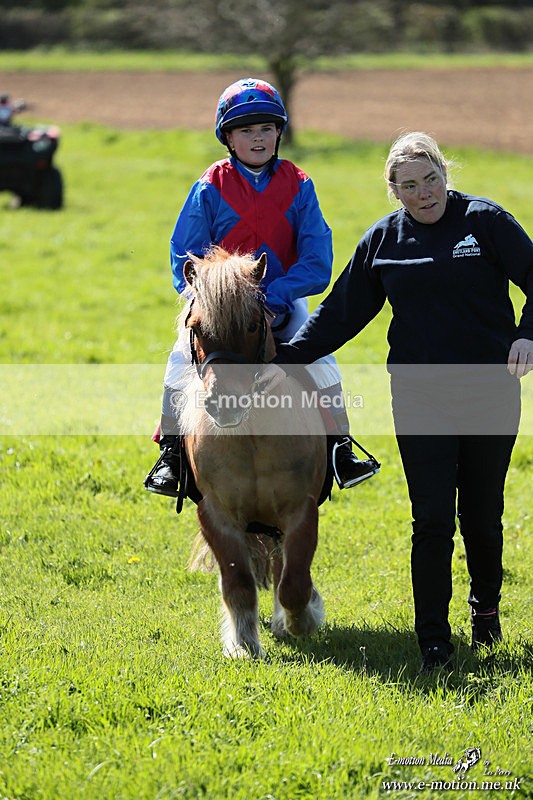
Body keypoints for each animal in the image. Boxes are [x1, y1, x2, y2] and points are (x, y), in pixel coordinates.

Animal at [179, 246, 328, 658]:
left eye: (250, 325)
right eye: (196, 327)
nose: (224, 405)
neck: (250, 437)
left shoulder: (300, 510)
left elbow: (294, 583)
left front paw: (301, 620)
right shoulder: (216, 514)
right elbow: (238, 582)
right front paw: (243, 645)